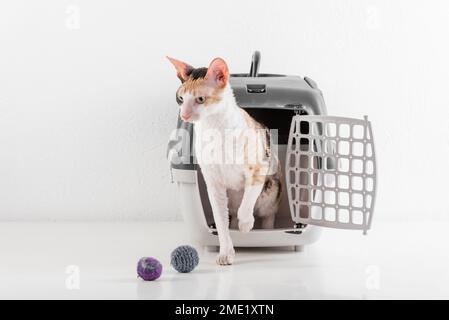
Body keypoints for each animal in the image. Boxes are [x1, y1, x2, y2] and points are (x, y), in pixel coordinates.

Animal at [167, 55, 280, 264]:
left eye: (200, 99)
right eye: (180, 98)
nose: (184, 115)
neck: (214, 129)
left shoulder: (258, 168)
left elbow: (247, 202)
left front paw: (246, 224)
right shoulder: (214, 183)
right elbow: (220, 223)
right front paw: (226, 252)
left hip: (271, 190)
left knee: (267, 215)